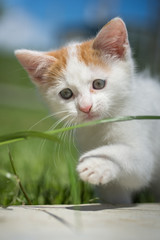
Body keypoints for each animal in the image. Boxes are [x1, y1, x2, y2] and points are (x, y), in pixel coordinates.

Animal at [14, 17, 160, 203]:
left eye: (98, 84)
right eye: (66, 93)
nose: (85, 107)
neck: (102, 126)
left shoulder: (142, 135)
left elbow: (135, 163)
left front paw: (97, 163)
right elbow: (114, 194)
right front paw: (113, 202)